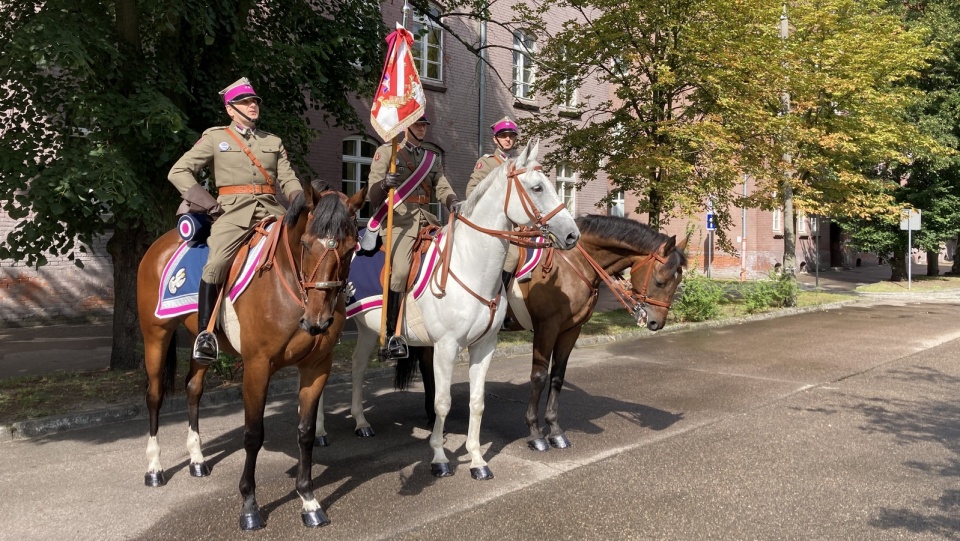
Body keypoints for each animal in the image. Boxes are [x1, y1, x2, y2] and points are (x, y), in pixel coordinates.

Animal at [133, 182, 362, 532]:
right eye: (306, 244)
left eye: (350, 247)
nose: (317, 321)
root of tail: (161, 242)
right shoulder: (257, 366)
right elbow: (253, 435)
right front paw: (250, 507)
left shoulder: (317, 367)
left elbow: (306, 433)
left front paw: (309, 501)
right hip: (156, 335)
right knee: (155, 395)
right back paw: (155, 468)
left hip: (200, 345)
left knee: (193, 389)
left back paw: (197, 460)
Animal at [320, 139, 576, 476]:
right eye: (537, 187)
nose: (572, 234)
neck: (470, 264)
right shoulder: (446, 346)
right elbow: (442, 402)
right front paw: (440, 458)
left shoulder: (485, 346)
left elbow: (477, 402)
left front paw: (477, 459)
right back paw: (320, 432)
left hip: (366, 329)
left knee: (358, 366)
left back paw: (361, 422)